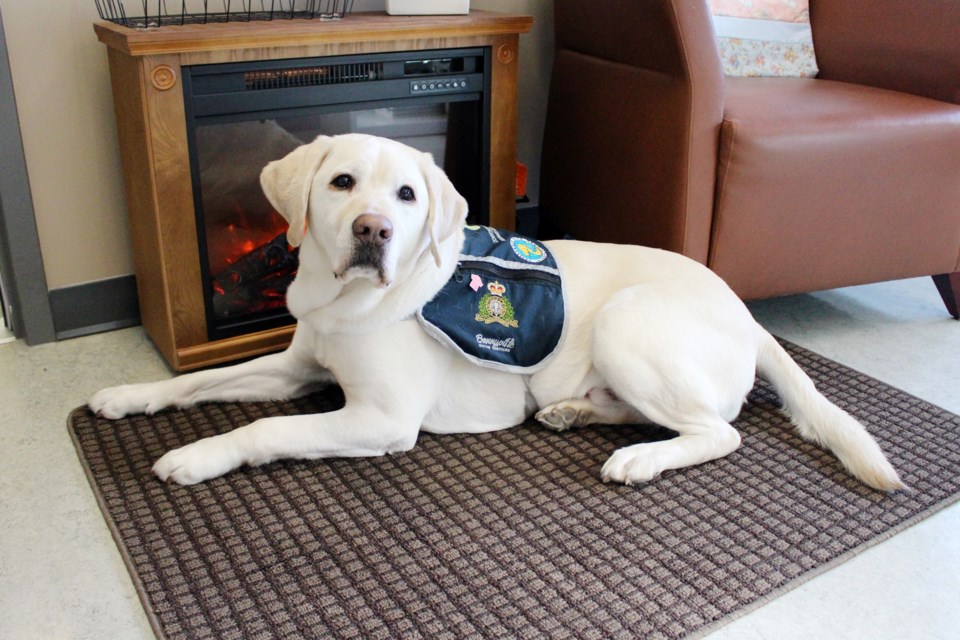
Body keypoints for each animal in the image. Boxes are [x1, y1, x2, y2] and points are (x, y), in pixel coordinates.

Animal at [86, 134, 904, 490]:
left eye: (407, 196)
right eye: (343, 182)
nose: (373, 231)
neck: (346, 301)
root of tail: (750, 316)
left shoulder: (381, 418)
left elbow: (267, 430)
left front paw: (197, 456)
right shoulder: (294, 369)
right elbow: (194, 382)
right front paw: (128, 394)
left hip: (627, 321)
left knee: (718, 432)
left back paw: (640, 459)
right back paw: (572, 413)